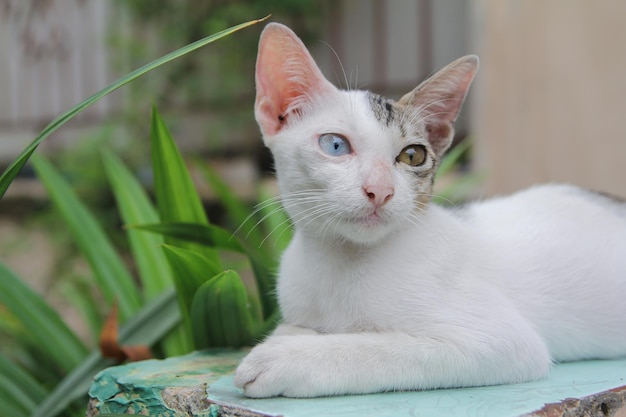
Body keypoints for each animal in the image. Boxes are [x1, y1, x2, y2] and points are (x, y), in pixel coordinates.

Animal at [233, 22, 624, 396]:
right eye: (335, 145)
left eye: (412, 155)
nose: (380, 190)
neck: (340, 265)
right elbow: (294, 327)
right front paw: (292, 339)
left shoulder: (504, 342)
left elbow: (377, 347)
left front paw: (285, 357)